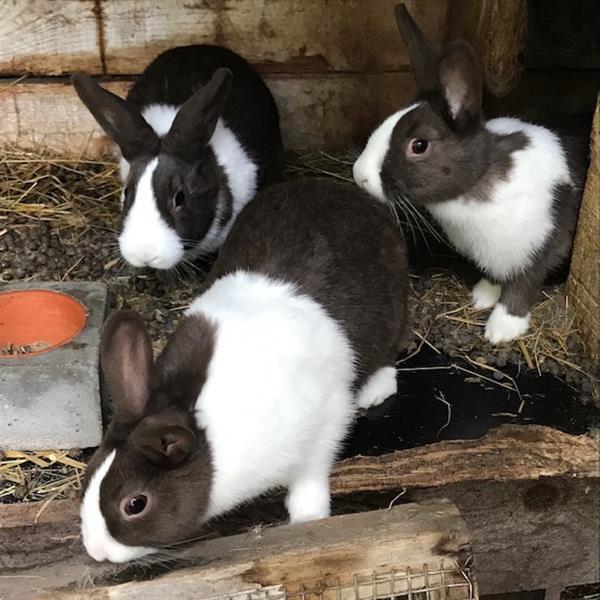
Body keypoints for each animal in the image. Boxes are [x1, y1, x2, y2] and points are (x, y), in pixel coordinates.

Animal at [78, 178, 408, 564]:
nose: (97, 551)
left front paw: (307, 517)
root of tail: (346, 192)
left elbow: (311, 474)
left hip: (393, 309)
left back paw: (376, 390)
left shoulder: (326, 421)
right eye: (86, 480)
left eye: (135, 504)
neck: (204, 433)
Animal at [352, 3, 584, 342]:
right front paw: (482, 295)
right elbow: (496, 274)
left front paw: (501, 329)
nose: (360, 175)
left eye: (419, 145)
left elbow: (523, 284)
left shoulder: (544, 244)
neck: (475, 181)